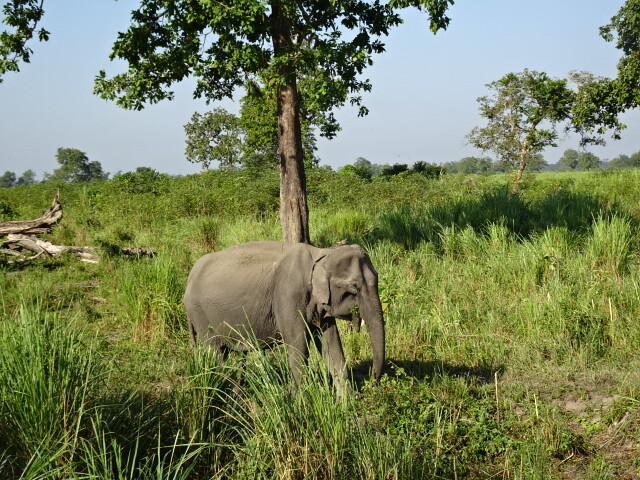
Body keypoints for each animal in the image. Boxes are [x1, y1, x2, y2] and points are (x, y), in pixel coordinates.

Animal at [183, 241, 385, 392]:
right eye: (354, 287)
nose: (372, 380)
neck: (322, 253)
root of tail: (189, 277)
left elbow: (332, 344)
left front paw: (346, 403)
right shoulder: (289, 296)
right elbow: (298, 345)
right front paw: (299, 404)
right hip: (200, 315)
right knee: (217, 353)